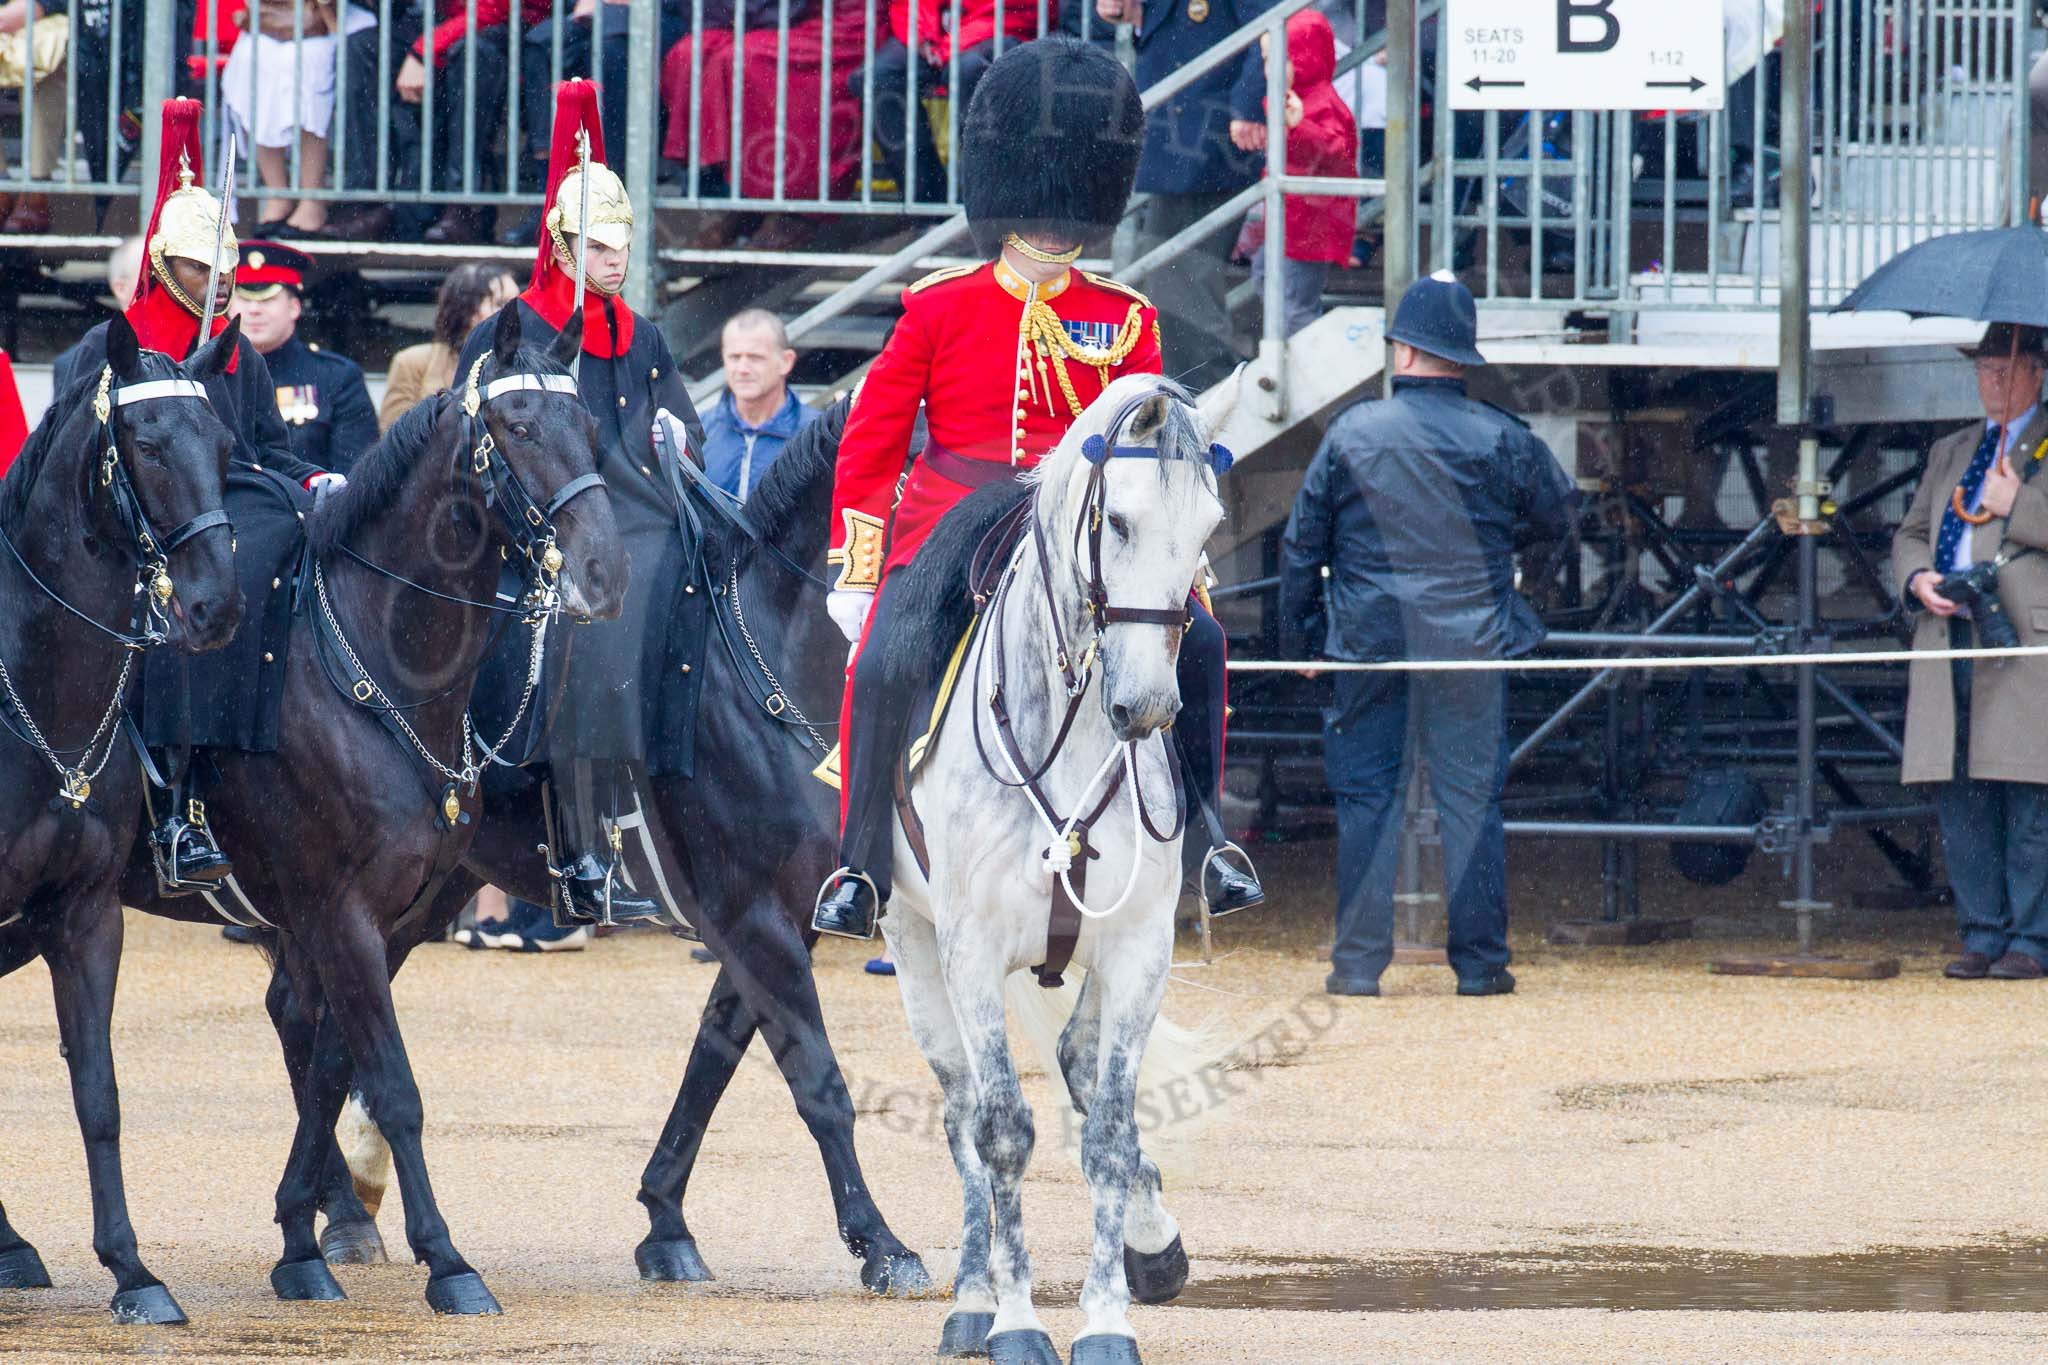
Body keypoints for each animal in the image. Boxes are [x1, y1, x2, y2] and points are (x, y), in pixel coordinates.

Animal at [112, 304, 618, 1317]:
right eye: (517, 428)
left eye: (588, 425)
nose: (605, 567)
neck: (374, 672)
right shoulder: (337, 912)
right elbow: (391, 1082)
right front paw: (447, 1259)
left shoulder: (391, 917)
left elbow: (332, 1071)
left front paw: (304, 1237)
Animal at [294, 397, 929, 1301]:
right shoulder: (754, 917)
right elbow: (818, 1082)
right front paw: (879, 1240)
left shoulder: (776, 920)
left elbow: (713, 1060)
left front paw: (665, 1220)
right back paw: (341, 1212)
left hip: (423, 891)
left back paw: (342, 1204)